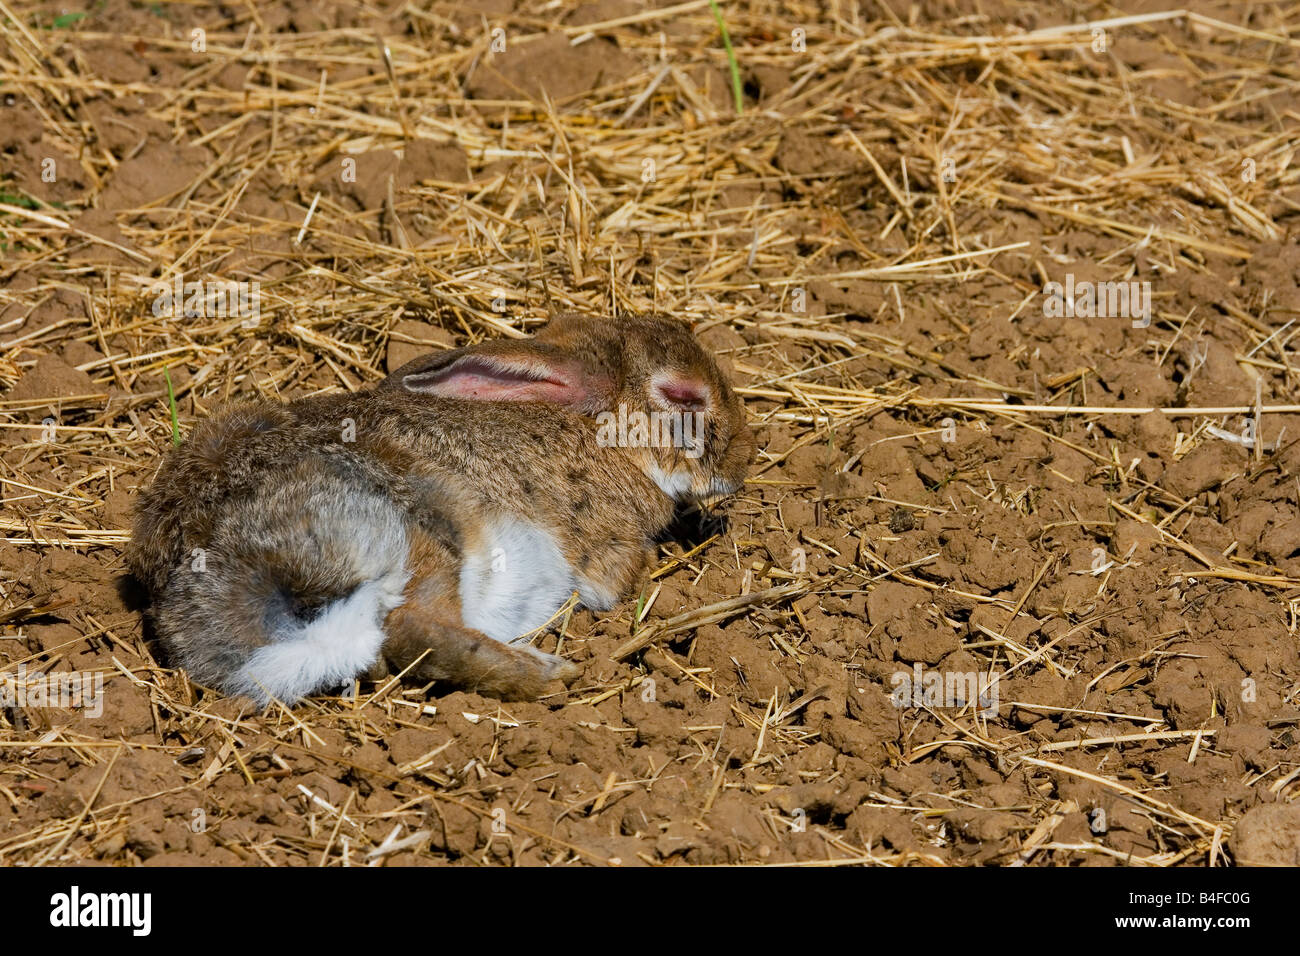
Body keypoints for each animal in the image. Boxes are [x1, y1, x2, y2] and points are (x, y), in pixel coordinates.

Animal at [126, 314, 759, 702]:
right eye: (683, 397)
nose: (745, 458)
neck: (597, 427)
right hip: (423, 531)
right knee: (415, 631)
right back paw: (549, 674)